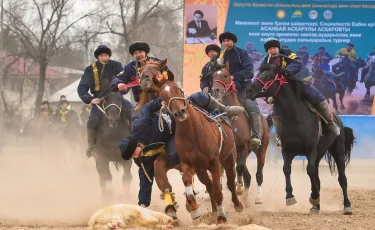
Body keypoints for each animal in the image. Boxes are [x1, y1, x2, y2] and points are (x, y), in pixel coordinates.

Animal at [212, 61, 270, 205]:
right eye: (213, 75)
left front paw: (238, 188)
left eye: (226, 75)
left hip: (261, 150)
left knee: (258, 173)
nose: (215, 90)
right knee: (247, 175)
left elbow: (238, 168)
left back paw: (258, 197)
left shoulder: (242, 146)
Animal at [247, 64, 356, 216]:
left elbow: (309, 171)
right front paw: (290, 197)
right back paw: (316, 207)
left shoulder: (311, 150)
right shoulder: (287, 151)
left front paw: (314, 197)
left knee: (342, 178)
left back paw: (346, 206)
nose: (248, 90)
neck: (295, 118)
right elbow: (287, 170)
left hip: (337, 151)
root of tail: (337, 119)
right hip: (319, 154)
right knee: (317, 178)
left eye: (268, 76)